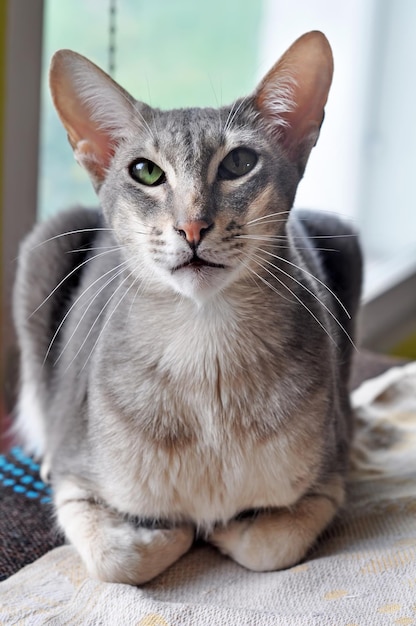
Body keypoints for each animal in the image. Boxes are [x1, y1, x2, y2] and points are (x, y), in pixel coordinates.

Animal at [13, 31, 360, 584]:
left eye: (239, 163)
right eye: (146, 171)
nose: (192, 226)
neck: (205, 352)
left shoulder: (330, 477)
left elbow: (272, 546)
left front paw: (224, 528)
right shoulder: (75, 481)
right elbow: (121, 559)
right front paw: (175, 528)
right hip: (45, 244)